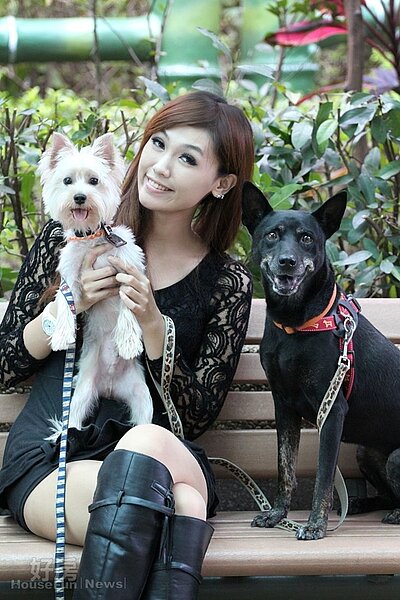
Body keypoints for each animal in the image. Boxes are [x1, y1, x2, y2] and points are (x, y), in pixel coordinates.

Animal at [39, 132, 153, 438]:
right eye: (67, 181)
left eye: (94, 181)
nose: (80, 196)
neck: (92, 239)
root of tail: (110, 388)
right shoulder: (71, 277)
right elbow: (65, 302)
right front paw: (62, 334)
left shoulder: (129, 271)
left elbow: (129, 304)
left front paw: (128, 341)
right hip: (80, 395)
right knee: (74, 420)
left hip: (143, 398)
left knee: (145, 422)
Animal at [242, 181, 400, 540]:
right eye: (272, 235)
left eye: (306, 238)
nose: (287, 262)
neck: (296, 323)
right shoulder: (283, 406)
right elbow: (285, 468)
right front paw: (277, 515)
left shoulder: (333, 412)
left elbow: (323, 478)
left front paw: (315, 525)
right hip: (367, 452)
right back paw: (361, 505)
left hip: (395, 458)